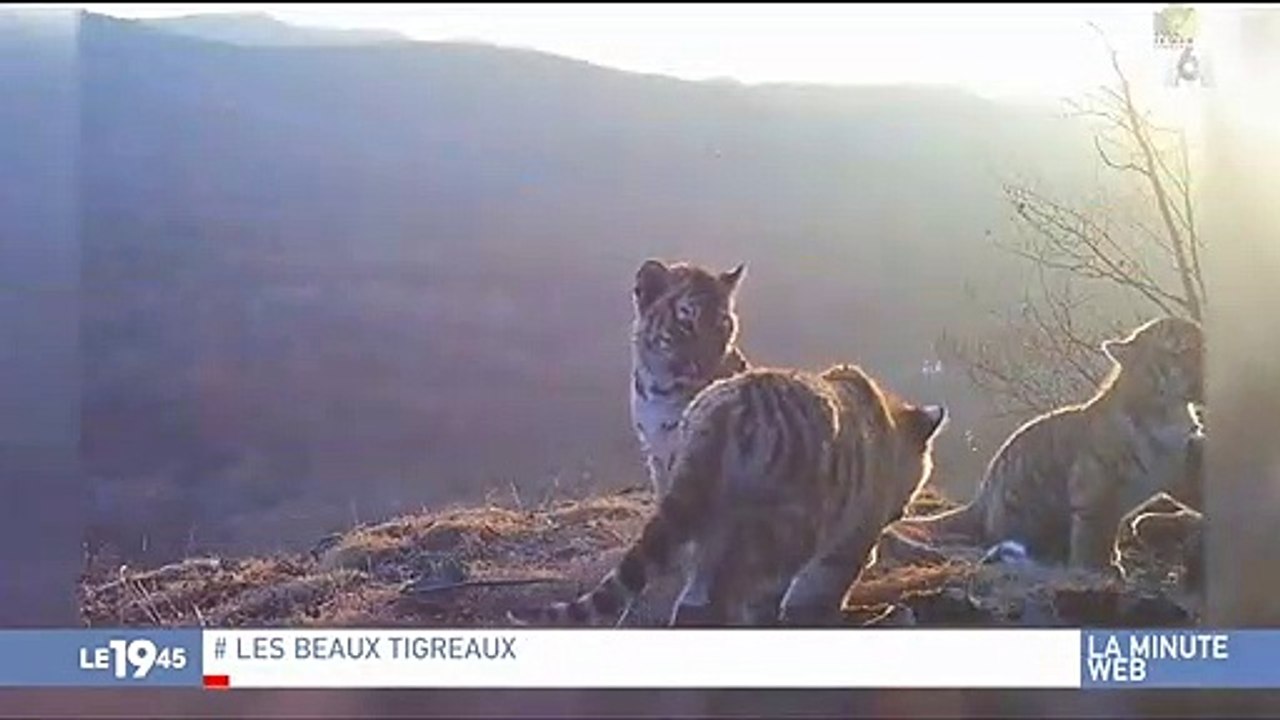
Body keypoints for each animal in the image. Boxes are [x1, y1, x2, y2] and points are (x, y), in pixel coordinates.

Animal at [508, 363, 948, 627]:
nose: (902, 510)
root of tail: (720, 413)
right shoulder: (849, 538)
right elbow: (822, 589)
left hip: (705, 519)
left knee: (697, 599)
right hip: (784, 530)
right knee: (735, 593)